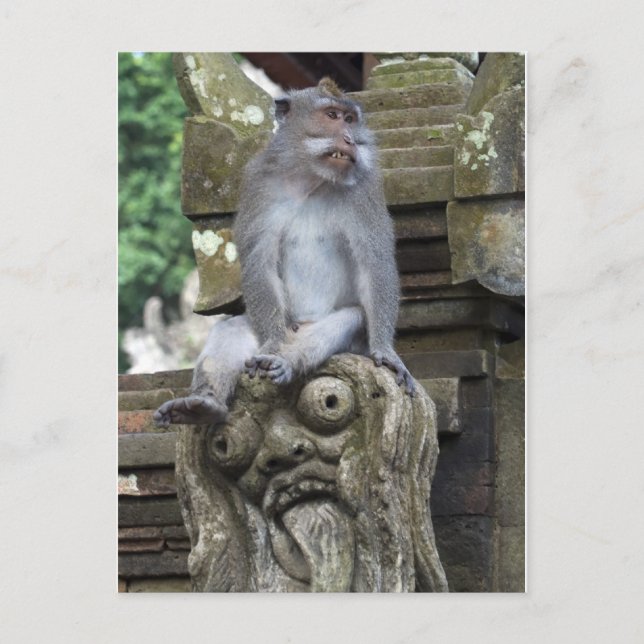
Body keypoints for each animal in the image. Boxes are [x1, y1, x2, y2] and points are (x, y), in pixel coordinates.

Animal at [154, 77, 414, 428]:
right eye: (332, 115)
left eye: (350, 119)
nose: (349, 139)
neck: (311, 179)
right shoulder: (258, 183)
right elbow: (259, 261)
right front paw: (273, 345)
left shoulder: (366, 189)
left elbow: (374, 263)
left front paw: (386, 351)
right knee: (233, 328)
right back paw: (204, 404)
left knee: (349, 319)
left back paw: (286, 363)